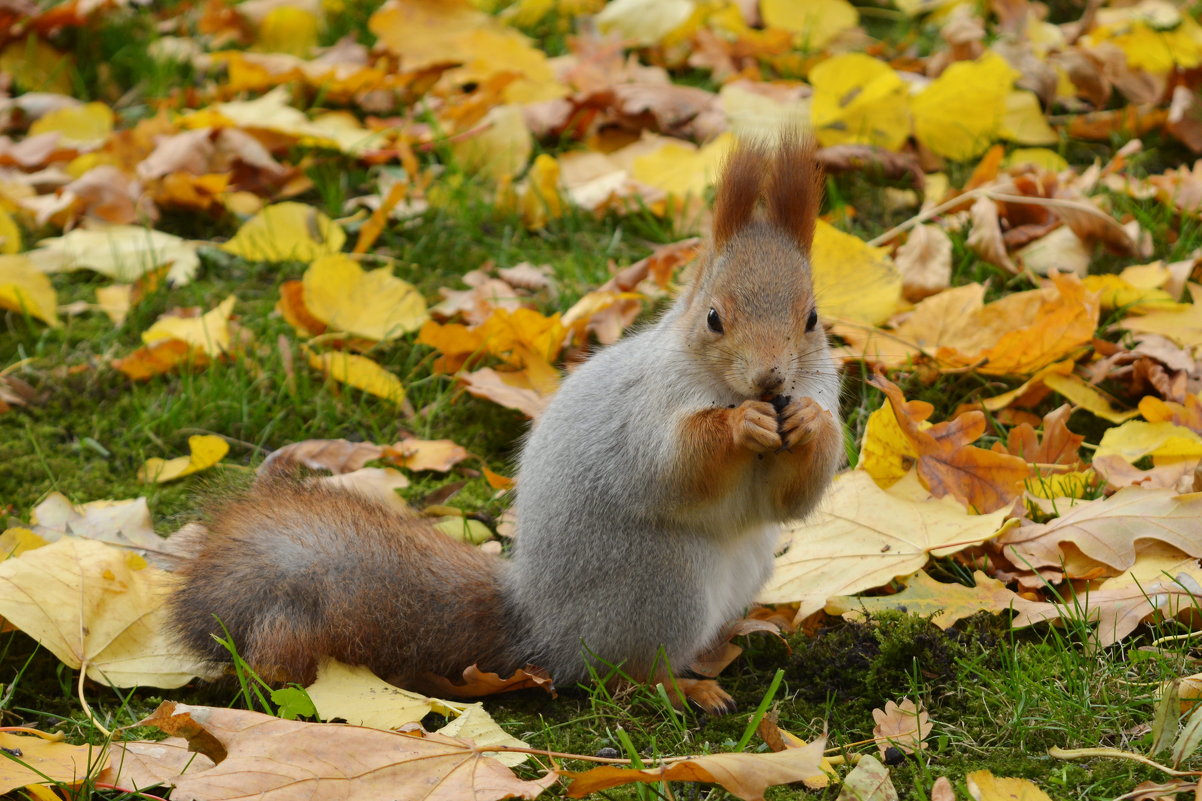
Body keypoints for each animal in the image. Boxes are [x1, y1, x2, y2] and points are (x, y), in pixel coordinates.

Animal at [167, 132, 846, 712]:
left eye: (812, 319)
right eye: (713, 318)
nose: (771, 381)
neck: (723, 386)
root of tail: (542, 632)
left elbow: (791, 499)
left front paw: (811, 424)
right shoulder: (647, 410)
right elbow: (678, 466)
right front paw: (740, 426)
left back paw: (741, 635)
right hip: (661, 587)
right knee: (622, 675)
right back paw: (683, 687)